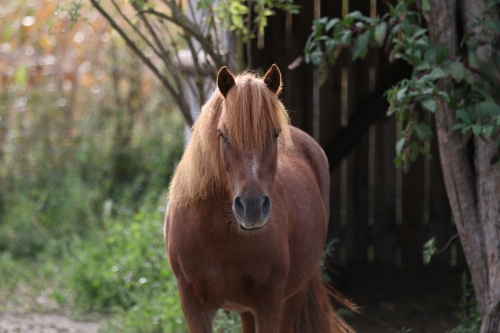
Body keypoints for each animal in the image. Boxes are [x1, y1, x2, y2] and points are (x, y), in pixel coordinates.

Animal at [165, 63, 356, 330]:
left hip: (293, 296)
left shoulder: (269, 303)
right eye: (223, 135)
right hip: (246, 309)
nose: (252, 207)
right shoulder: (193, 305)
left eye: (275, 135)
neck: (219, 235)